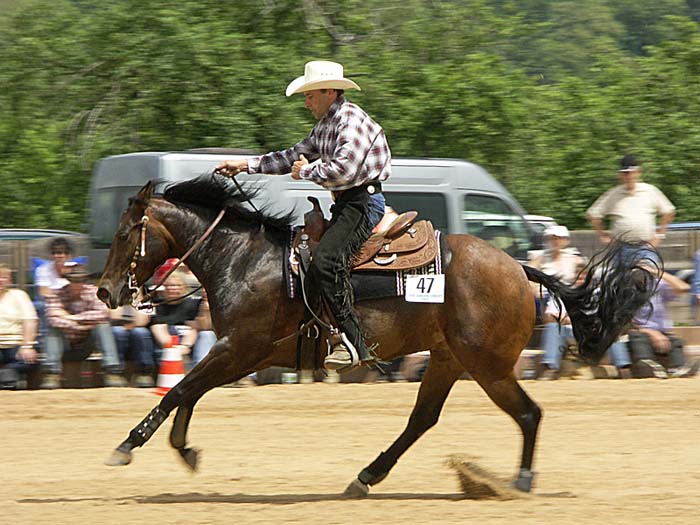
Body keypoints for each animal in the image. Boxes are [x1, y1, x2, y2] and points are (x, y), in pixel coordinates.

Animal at [97, 174, 656, 494]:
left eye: (125, 234)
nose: (104, 292)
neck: (245, 260)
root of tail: (520, 268)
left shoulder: (240, 349)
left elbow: (181, 390)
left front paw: (127, 445)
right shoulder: (244, 354)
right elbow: (190, 391)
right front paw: (184, 449)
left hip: (488, 365)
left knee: (528, 413)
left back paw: (517, 482)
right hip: (450, 359)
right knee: (423, 419)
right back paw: (368, 476)